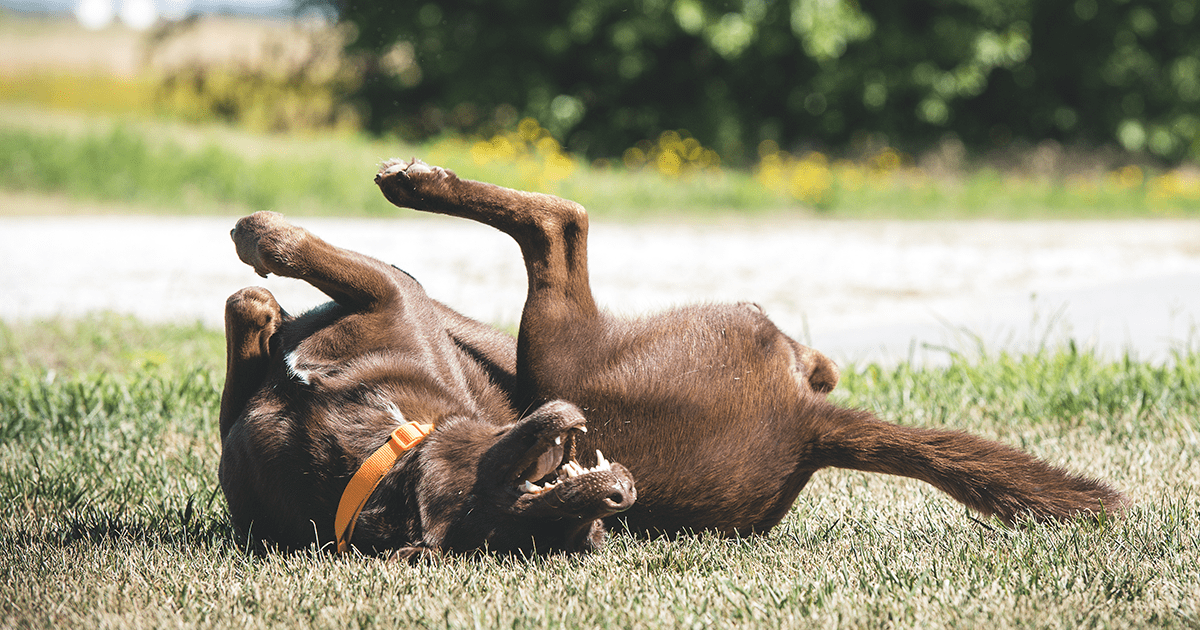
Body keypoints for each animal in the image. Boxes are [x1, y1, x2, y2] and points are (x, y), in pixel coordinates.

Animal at [220, 159, 1128, 556]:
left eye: (530, 494)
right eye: (547, 514)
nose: (622, 494)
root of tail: (809, 426)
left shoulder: (396, 298)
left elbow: (316, 266)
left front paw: (267, 244)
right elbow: (249, 323)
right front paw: (263, 307)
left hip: (556, 347)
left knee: (560, 222)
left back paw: (415, 182)